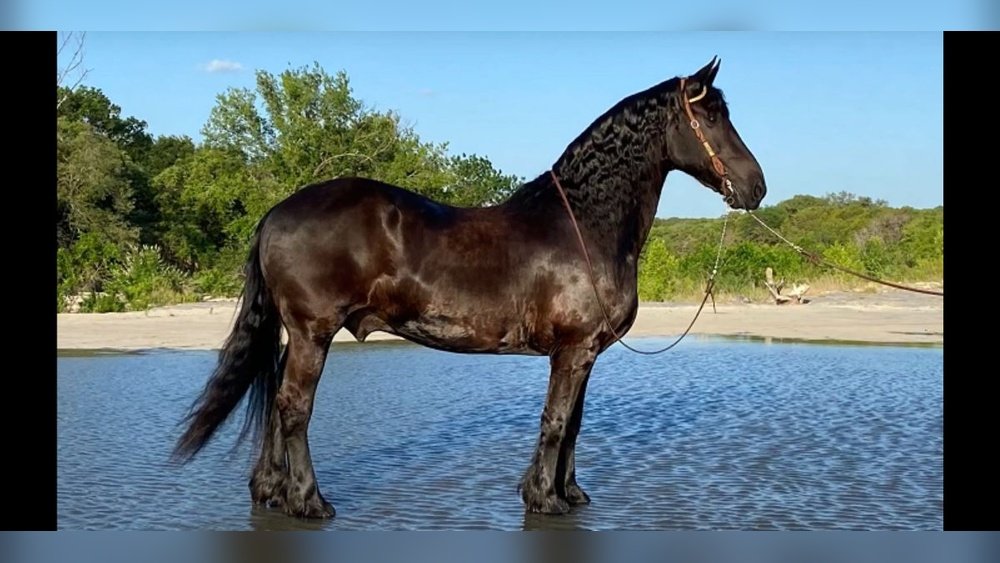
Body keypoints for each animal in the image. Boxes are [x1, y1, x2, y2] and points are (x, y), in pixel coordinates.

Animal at [172, 57, 767, 519]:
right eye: (710, 116)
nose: (756, 187)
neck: (584, 222)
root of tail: (277, 212)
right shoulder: (573, 351)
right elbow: (556, 421)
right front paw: (543, 499)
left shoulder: (586, 353)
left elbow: (574, 424)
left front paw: (568, 493)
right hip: (312, 333)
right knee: (294, 408)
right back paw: (308, 501)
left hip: (296, 335)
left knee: (276, 403)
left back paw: (270, 491)